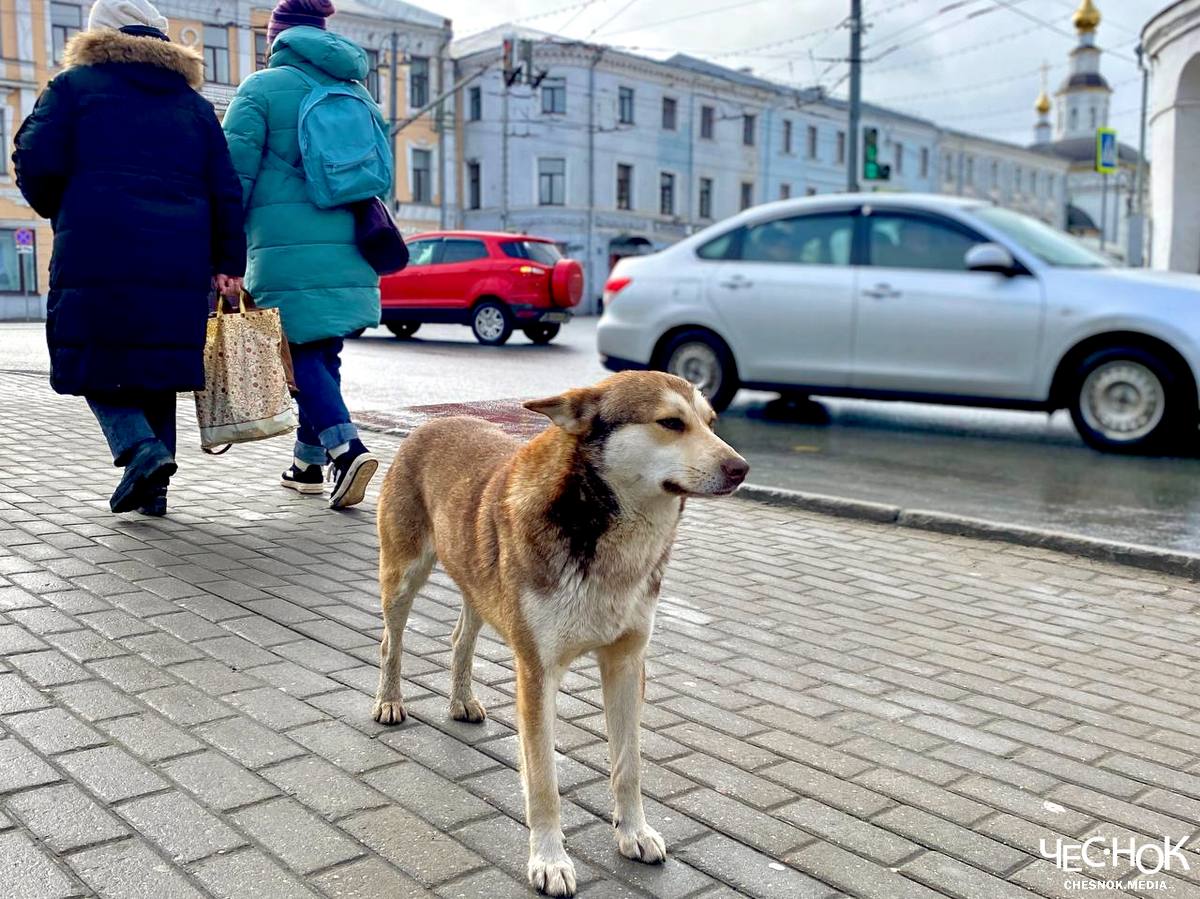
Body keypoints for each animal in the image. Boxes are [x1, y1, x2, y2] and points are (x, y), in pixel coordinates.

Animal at [374, 369, 748, 892]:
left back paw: (462, 700)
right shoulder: (537, 673)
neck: (607, 542)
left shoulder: (627, 664)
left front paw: (634, 833)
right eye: (670, 423)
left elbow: (628, 766)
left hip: (478, 588)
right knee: (392, 642)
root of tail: (433, 421)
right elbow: (543, 781)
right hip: (402, 579)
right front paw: (549, 860)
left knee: (459, 641)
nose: (741, 468)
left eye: (712, 423)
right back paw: (389, 702)